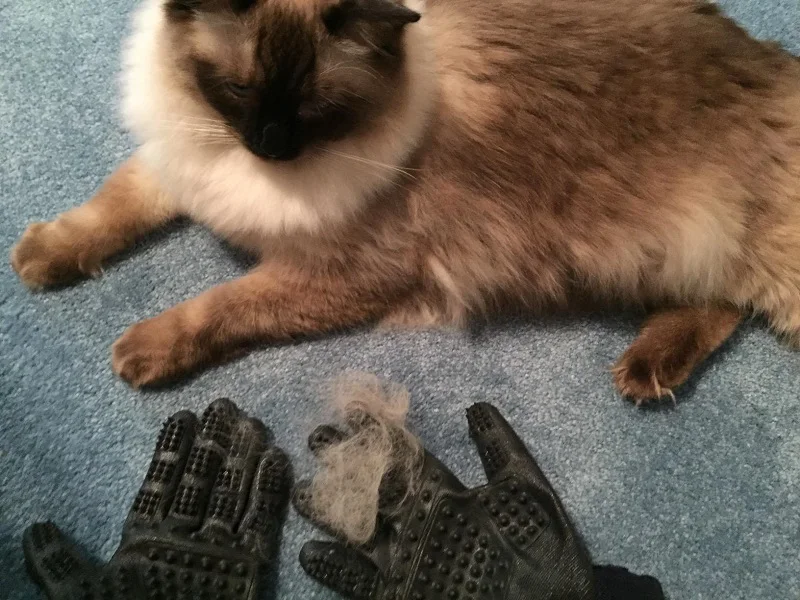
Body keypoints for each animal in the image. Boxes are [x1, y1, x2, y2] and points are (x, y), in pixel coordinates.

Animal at [11, 0, 800, 403]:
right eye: (237, 90)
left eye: (315, 106)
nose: (271, 146)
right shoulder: (184, 162)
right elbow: (108, 208)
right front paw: (41, 257)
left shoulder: (341, 274)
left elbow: (218, 306)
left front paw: (143, 349)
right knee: (718, 302)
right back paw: (649, 370)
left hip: (772, 274)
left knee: (734, 301)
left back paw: (645, 373)